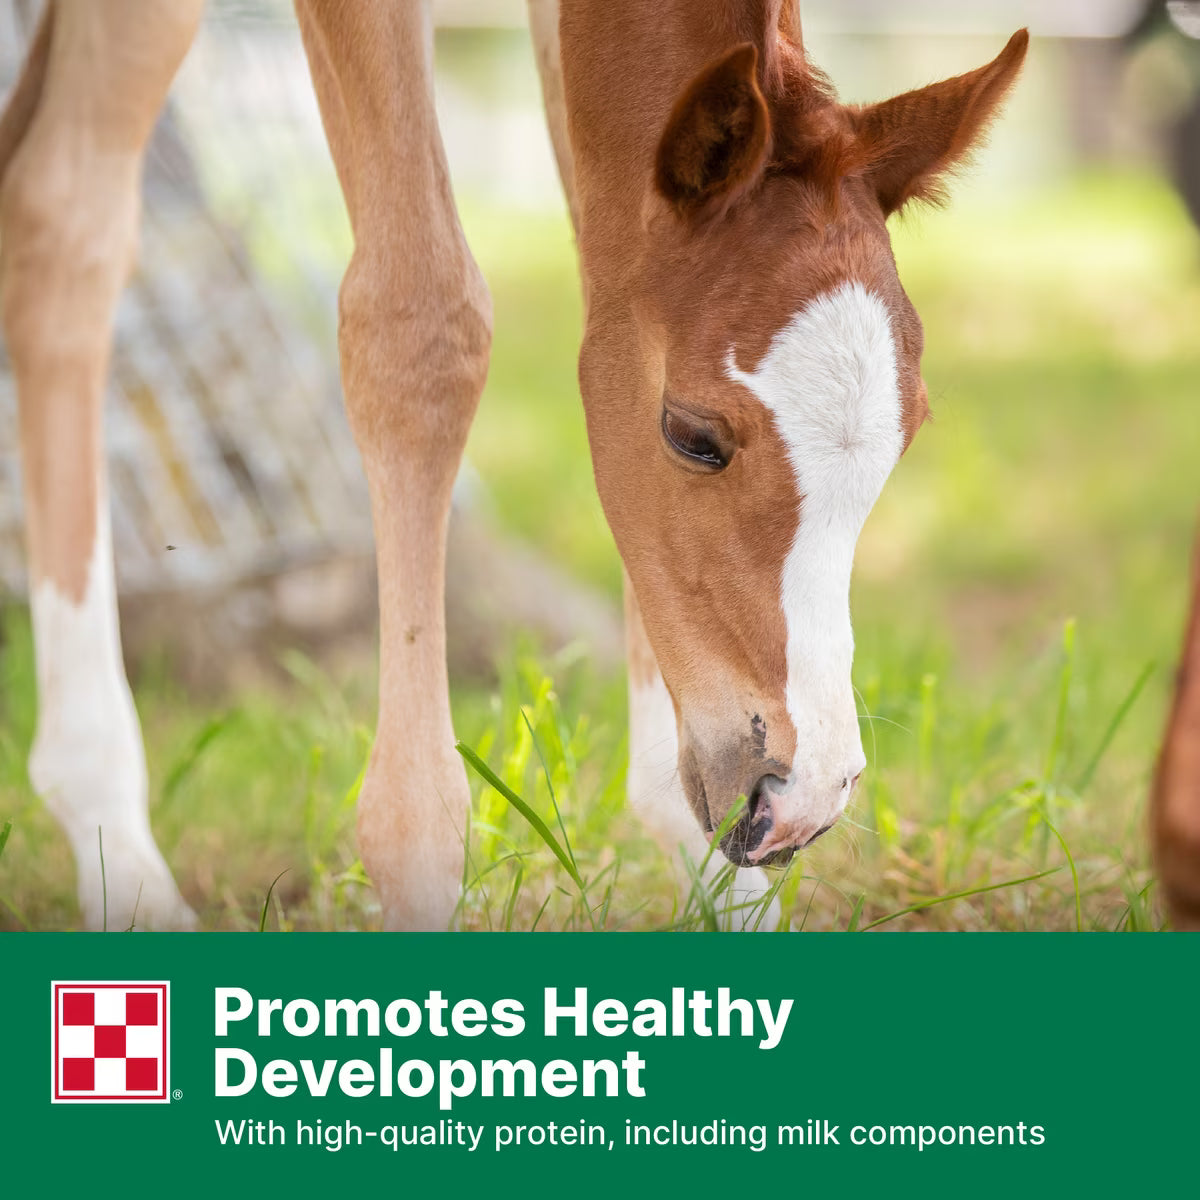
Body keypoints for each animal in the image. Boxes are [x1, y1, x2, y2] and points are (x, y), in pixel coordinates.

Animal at [0, 0, 1028, 930]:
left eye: (908, 436)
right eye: (693, 435)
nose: (799, 797)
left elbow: (597, 263)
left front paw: (724, 893)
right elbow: (422, 319)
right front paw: (416, 865)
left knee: (59, 211)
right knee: (69, 221)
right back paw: (124, 869)